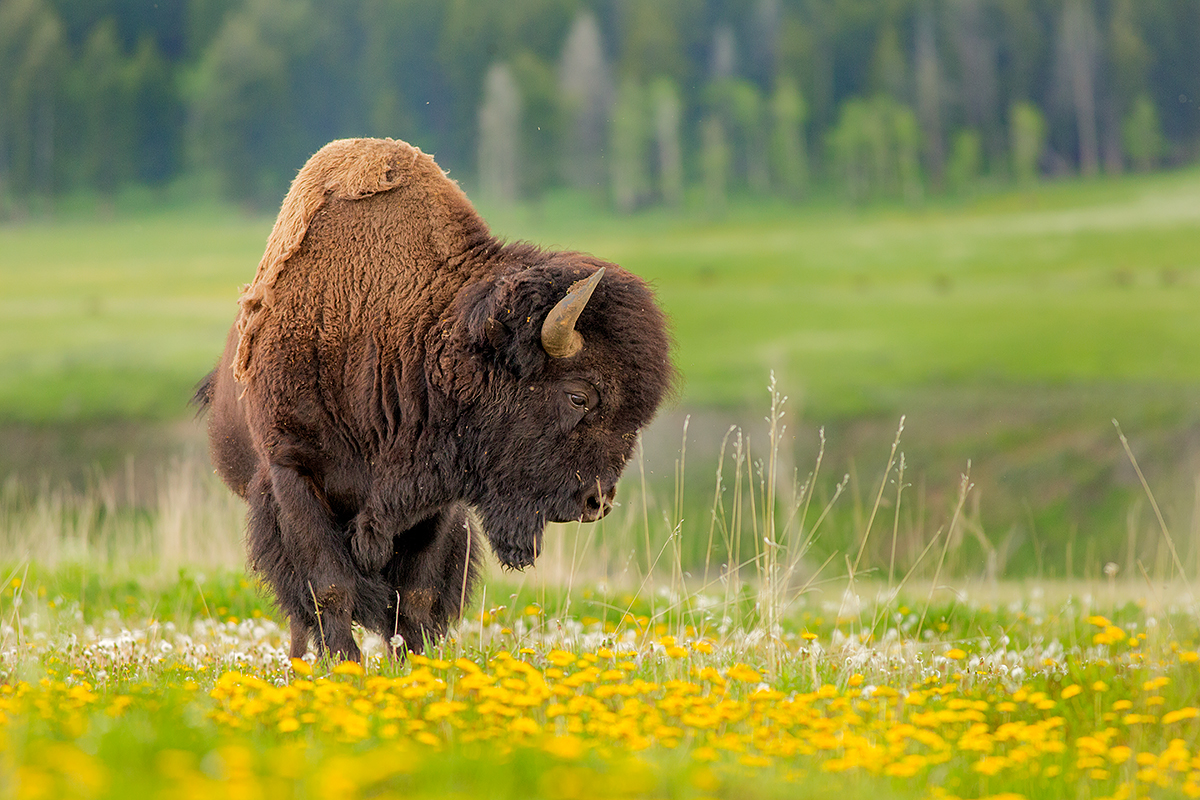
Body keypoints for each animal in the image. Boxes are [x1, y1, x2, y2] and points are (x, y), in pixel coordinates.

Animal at [195, 138, 672, 660]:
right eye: (579, 396)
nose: (596, 501)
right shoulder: (293, 474)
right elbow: (329, 587)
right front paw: (344, 665)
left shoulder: (437, 499)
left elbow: (416, 595)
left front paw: (416, 663)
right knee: (302, 609)